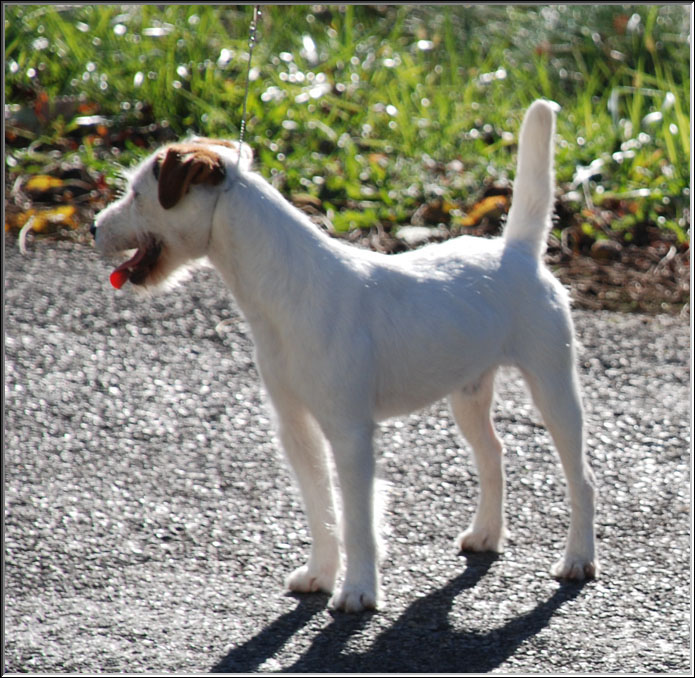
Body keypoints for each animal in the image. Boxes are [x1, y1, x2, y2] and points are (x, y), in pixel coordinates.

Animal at [94, 101, 600, 616]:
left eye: (137, 194)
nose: (94, 226)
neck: (285, 290)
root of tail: (518, 251)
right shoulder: (296, 428)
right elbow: (321, 509)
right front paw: (319, 574)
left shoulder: (350, 434)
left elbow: (357, 519)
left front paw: (358, 590)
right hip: (469, 394)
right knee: (493, 454)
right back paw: (486, 534)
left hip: (554, 387)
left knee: (581, 478)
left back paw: (577, 559)